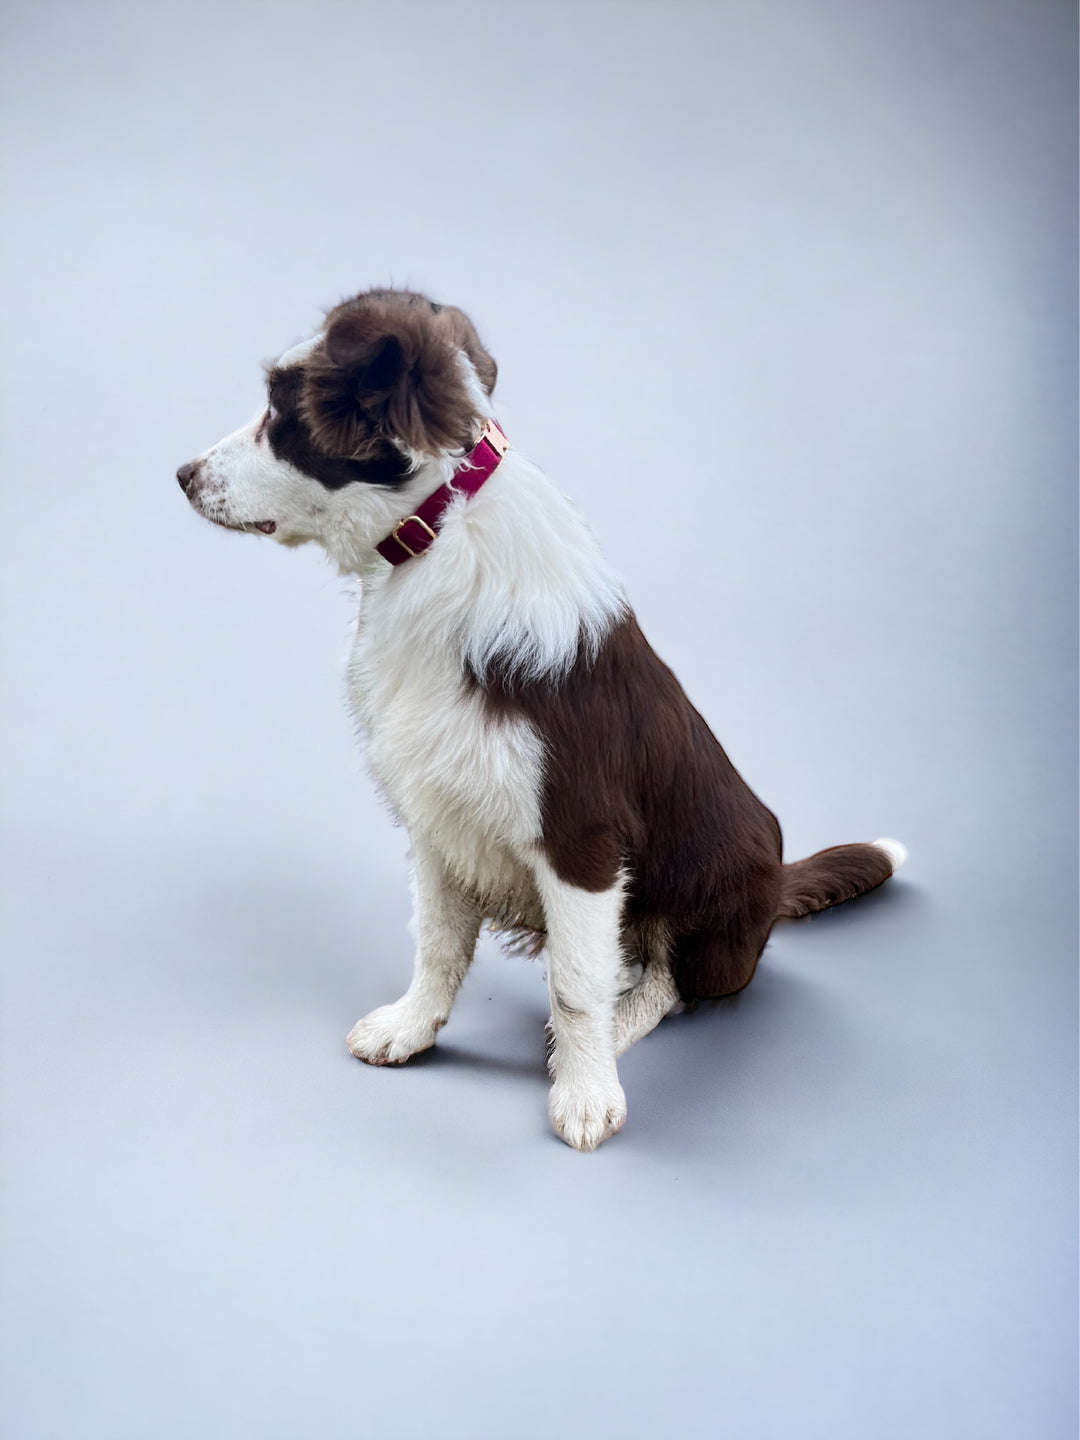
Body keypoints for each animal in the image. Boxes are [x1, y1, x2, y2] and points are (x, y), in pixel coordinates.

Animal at [177, 286, 904, 1152]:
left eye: (281, 414)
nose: (181, 475)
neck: (435, 533)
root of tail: (777, 883)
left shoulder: (580, 839)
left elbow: (576, 985)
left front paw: (586, 1093)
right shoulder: (437, 813)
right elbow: (438, 943)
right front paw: (411, 1027)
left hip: (714, 906)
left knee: (672, 983)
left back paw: (617, 1028)